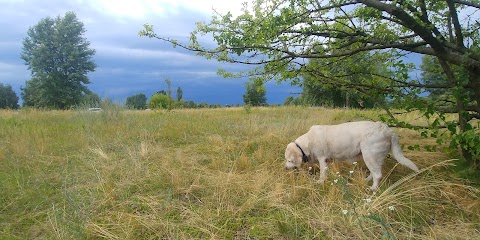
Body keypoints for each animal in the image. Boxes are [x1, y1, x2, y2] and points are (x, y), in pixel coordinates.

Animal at [284, 121, 420, 190]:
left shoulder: (323, 159)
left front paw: (320, 182)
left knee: (378, 175)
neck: (308, 143)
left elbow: (322, 173)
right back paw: (366, 181)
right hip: (375, 158)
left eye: (290, 160)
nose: (285, 168)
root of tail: (388, 130)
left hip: (369, 155)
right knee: (374, 172)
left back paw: (372, 189)